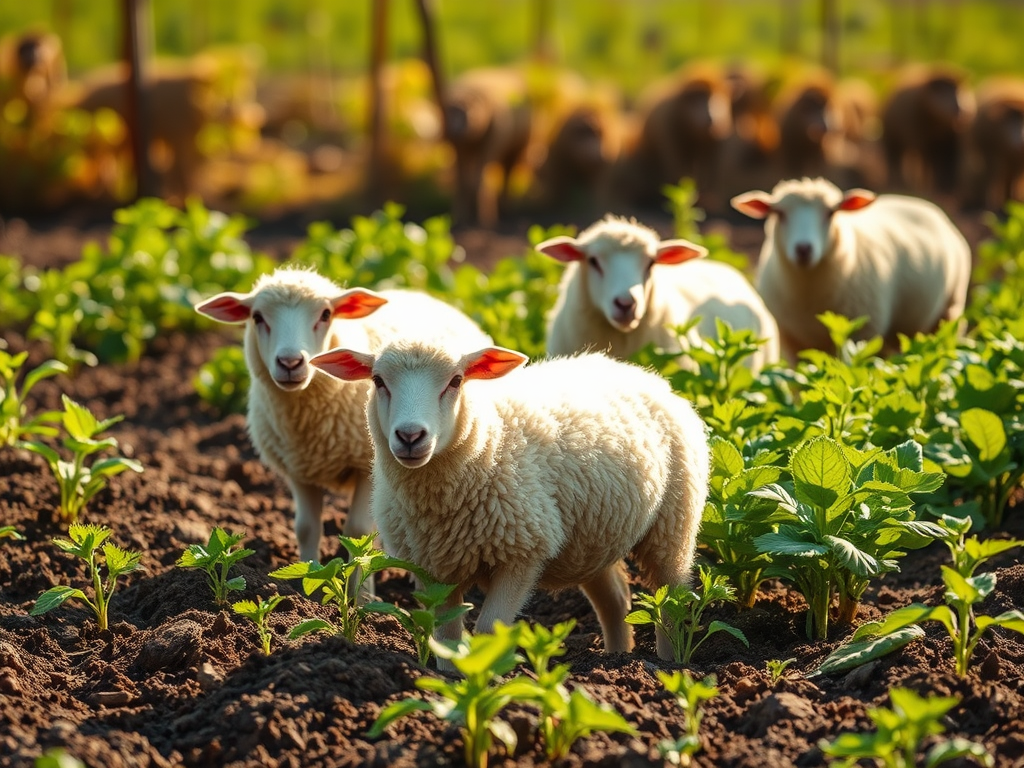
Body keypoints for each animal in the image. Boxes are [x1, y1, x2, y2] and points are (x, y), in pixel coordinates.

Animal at [194, 267, 492, 571]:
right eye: (257, 317)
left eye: (326, 314)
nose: (290, 363)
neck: (307, 422)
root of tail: (420, 293)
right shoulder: (298, 470)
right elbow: (306, 529)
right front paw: (307, 578)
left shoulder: (365, 466)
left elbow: (358, 531)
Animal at [309, 341, 710, 668]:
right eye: (378, 381)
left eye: (456, 381)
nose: (410, 436)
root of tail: (641, 373)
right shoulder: (429, 564)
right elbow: (445, 637)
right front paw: (449, 681)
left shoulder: (523, 551)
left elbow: (488, 630)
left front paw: (481, 675)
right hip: (591, 538)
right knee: (615, 599)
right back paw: (617, 657)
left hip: (674, 522)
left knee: (671, 600)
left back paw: (670, 663)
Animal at [730, 176, 972, 361]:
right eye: (779, 213)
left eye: (830, 213)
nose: (804, 249)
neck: (809, 297)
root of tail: (915, 201)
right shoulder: (793, 343)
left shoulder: (861, 335)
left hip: (949, 309)